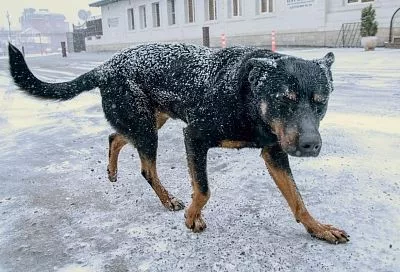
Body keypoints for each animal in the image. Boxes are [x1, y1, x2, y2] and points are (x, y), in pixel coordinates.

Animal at [7, 43, 348, 243]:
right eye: (283, 100)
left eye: (321, 102)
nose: (310, 145)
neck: (247, 97)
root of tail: (105, 66)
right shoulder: (195, 137)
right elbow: (204, 189)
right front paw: (192, 218)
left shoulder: (275, 151)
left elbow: (297, 199)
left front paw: (317, 228)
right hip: (146, 127)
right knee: (146, 167)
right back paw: (168, 199)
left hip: (150, 120)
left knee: (116, 136)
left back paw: (113, 170)